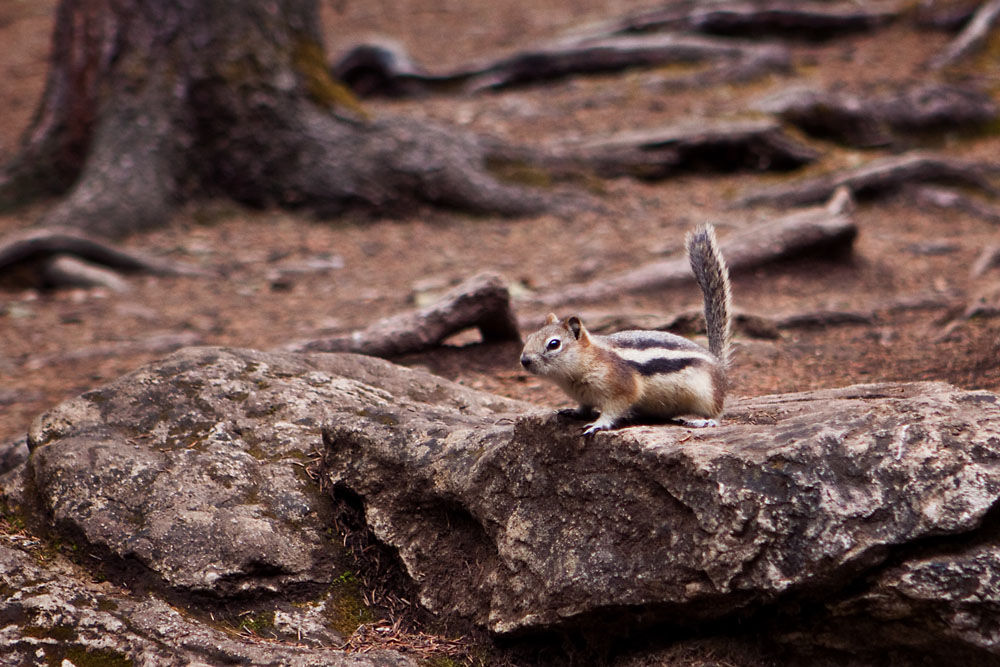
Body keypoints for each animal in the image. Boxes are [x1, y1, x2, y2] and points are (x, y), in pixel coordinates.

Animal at [519, 223, 732, 435]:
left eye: (554, 344)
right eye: (529, 338)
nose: (524, 360)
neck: (587, 362)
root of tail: (718, 364)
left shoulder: (621, 388)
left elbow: (614, 409)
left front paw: (598, 424)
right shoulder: (584, 396)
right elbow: (584, 407)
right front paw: (574, 412)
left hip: (706, 393)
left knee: (717, 411)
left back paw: (706, 421)